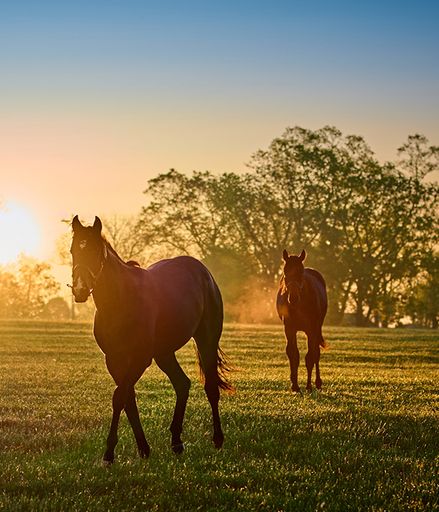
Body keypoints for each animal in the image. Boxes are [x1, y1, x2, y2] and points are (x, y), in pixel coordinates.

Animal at [276, 250, 328, 394]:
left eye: (301, 272)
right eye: (285, 272)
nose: (293, 298)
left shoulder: (311, 330)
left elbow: (310, 357)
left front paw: (309, 386)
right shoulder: (289, 328)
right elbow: (293, 354)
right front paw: (294, 385)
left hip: (317, 328)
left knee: (316, 353)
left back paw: (318, 383)